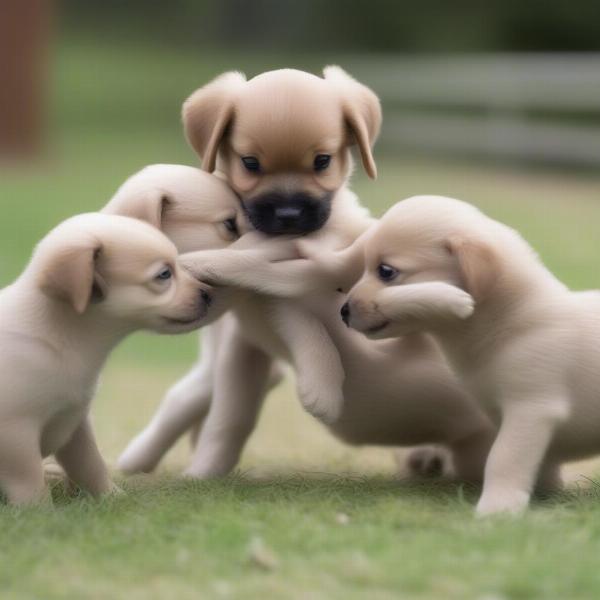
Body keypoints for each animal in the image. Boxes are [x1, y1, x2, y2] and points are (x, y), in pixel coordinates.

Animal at [0, 213, 211, 504]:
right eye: (164, 275)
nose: (209, 294)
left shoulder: (76, 424)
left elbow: (90, 464)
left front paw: (112, 498)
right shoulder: (15, 435)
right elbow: (29, 482)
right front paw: (40, 510)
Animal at [342, 196, 600, 516]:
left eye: (386, 271)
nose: (343, 312)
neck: (511, 324)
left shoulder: (531, 410)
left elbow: (503, 458)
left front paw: (497, 508)